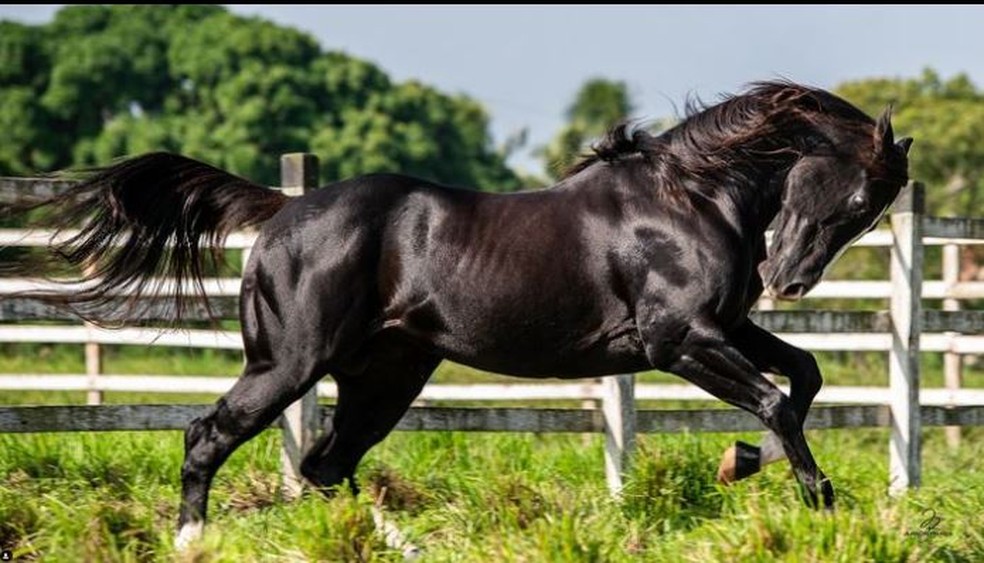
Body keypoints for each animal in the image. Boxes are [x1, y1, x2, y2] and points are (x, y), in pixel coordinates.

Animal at [1, 81, 908, 548]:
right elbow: (775, 400)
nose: (789, 278)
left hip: (386, 377)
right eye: (858, 198)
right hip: (290, 364)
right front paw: (809, 495)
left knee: (327, 465)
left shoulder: (724, 328)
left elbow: (803, 377)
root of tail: (283, 212)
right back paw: (192, 539)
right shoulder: (677, 340)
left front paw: (747, 465)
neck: (687, 198)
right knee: (211, 436)